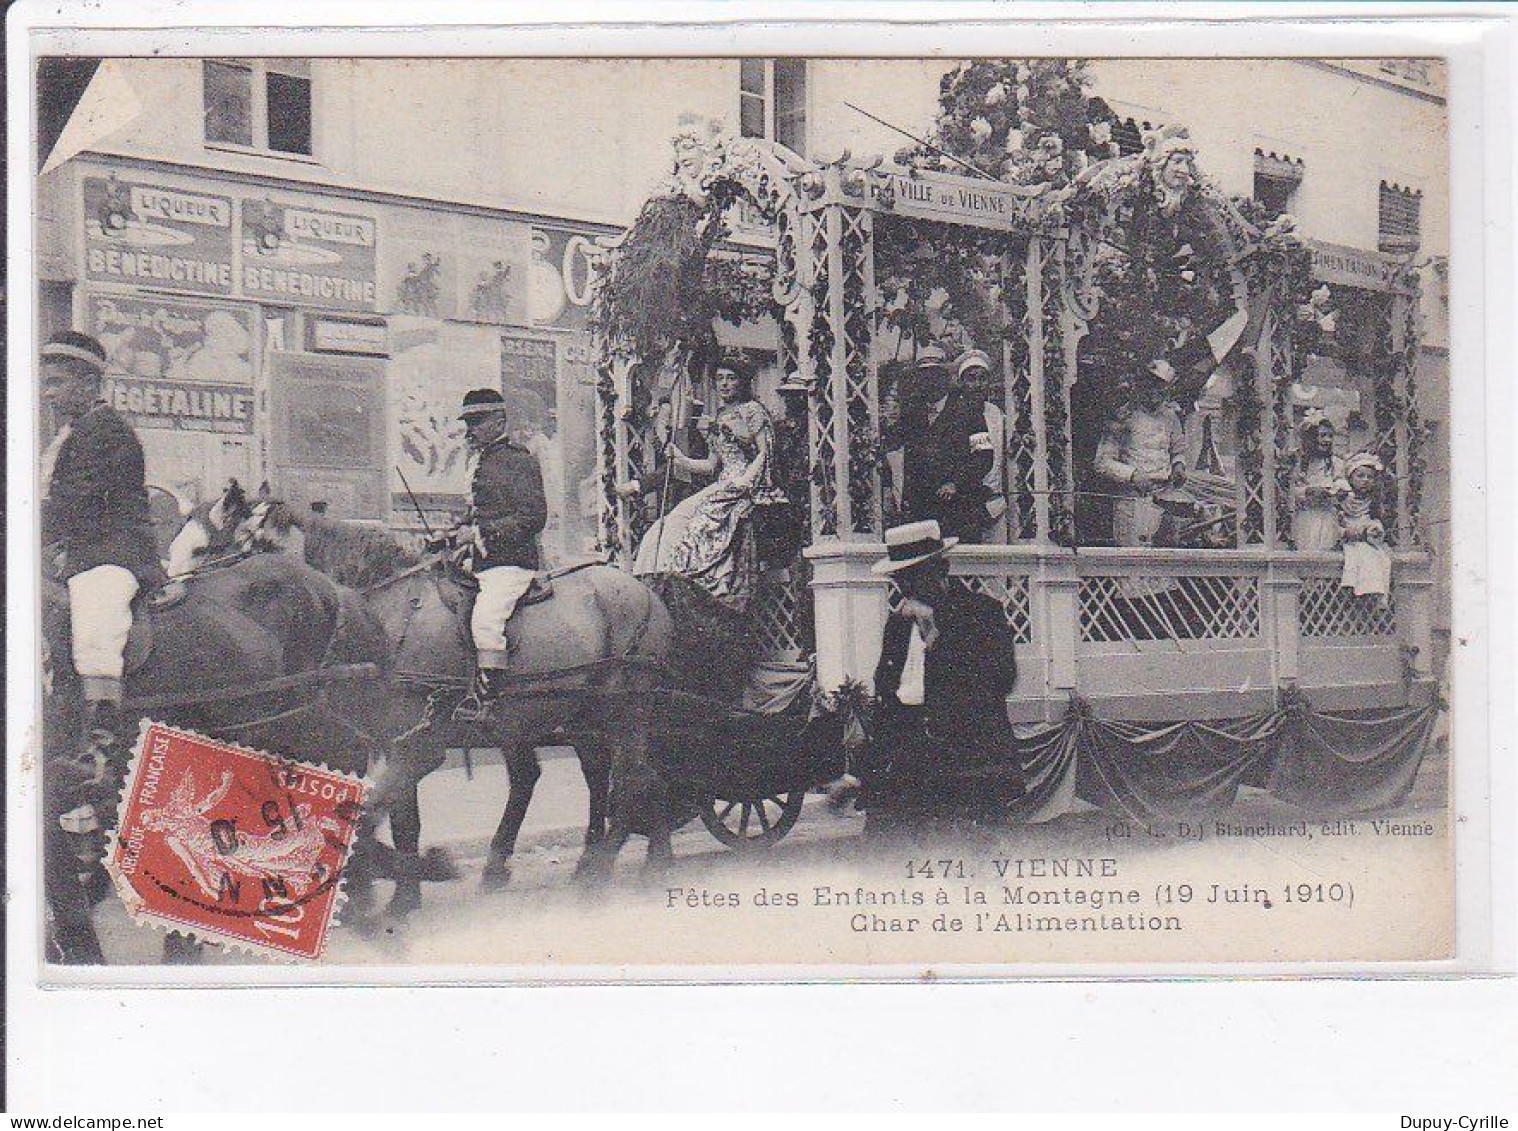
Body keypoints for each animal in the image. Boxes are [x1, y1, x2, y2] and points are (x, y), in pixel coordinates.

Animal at [244, 500, 677, 910]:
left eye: (256, 548)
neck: (393, 612)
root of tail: (647, 594)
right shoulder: (393, 742)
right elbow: (403, 818)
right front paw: (407, 892)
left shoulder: (418, 744)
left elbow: (384, 813)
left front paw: (400, 891)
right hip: (576, 719)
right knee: (607, 777)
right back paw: (637, 859)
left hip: (625, 714)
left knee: (632, 781)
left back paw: (602, 871)